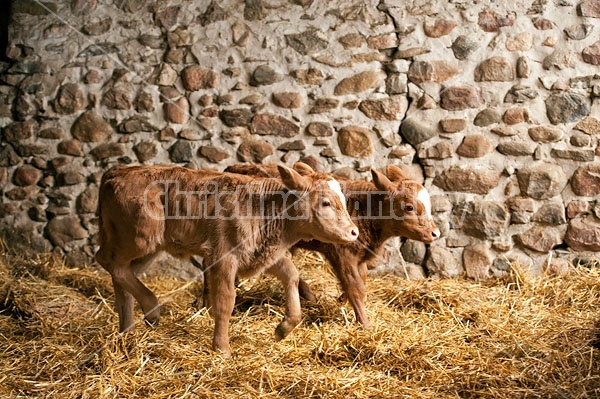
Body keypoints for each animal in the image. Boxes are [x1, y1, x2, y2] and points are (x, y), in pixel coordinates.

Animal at [94, 164, 356, 354]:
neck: (262, 207)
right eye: (325, 202)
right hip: (140, 237)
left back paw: (127, 329)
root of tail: (117, 171)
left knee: (123, 274)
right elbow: (225, 300)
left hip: (148, 248)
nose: (354, 232)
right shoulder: (223, 257)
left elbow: (291, 275)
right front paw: (222, 349)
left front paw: (283, 328)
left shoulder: (261, 253)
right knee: (108, 261)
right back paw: (150, 308)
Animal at [225, 162, 440, 328]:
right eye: (409, 207)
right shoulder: (342, 253)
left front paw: (341, 300)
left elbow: (361, 281)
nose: (435, 233)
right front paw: (365, 324)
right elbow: (356, 288)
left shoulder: (360, 256)